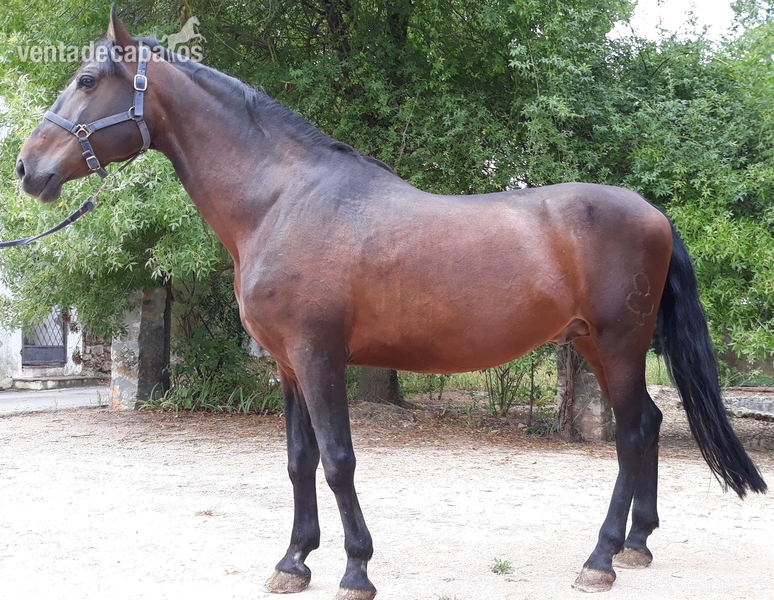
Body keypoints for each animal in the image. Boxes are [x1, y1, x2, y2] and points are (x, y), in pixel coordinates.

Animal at [14, 9, 766, 599]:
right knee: (646, 427)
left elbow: (339, 459)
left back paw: (602, 557)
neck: (281, 201)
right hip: (595, 343)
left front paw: (355, 571)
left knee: (634, 432)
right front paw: (293, 562)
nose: (27, 169)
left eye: (88, 81)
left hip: (617, 343)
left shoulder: (320, 356)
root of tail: (655, 214)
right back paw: (637, 545)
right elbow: (299, 460)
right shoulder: (287, 364)